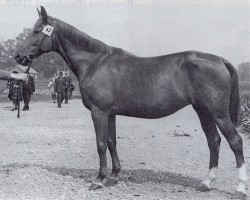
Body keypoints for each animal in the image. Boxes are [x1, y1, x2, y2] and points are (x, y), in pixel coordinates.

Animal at [15, 6, 248, 198]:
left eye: (37, 30)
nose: (18, 56)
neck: (95, 62)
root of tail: (220, 60)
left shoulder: (99, 111)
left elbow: (100, 144)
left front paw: (98, 180)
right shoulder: (110, 113)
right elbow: (111, 142)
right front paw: (113, 177)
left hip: (218, 113)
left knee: (235, 141)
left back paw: (240, 188)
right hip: (203, 111)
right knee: (213, 141)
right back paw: (207, 183)